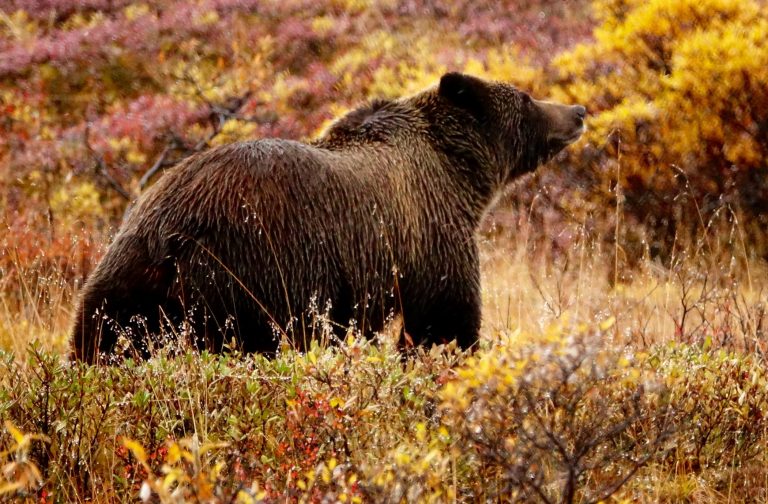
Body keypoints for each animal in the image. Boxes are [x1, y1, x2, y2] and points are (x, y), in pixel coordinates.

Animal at [73, 72, 588, 362]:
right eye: (526, 98)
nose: (579, 110)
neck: (457, 174)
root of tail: (171, 234)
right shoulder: (429, 233)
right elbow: (443, 320)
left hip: (127, 271)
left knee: (100, 337)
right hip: (251, 269)